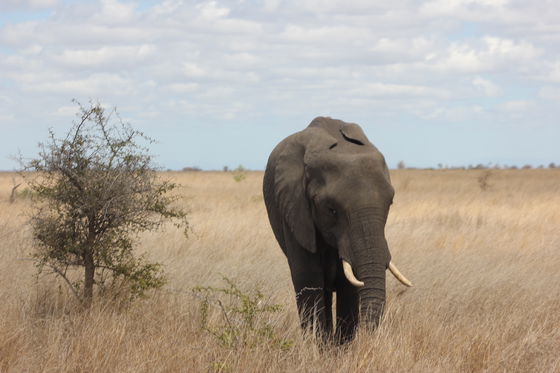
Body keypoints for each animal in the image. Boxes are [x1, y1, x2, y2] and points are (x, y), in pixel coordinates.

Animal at [262, 116, 412, 342]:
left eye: (390, 203)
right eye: (331, 210)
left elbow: (348, 288)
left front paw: (340, 348)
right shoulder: (295, 210)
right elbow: (309, 279)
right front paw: (320, 347)